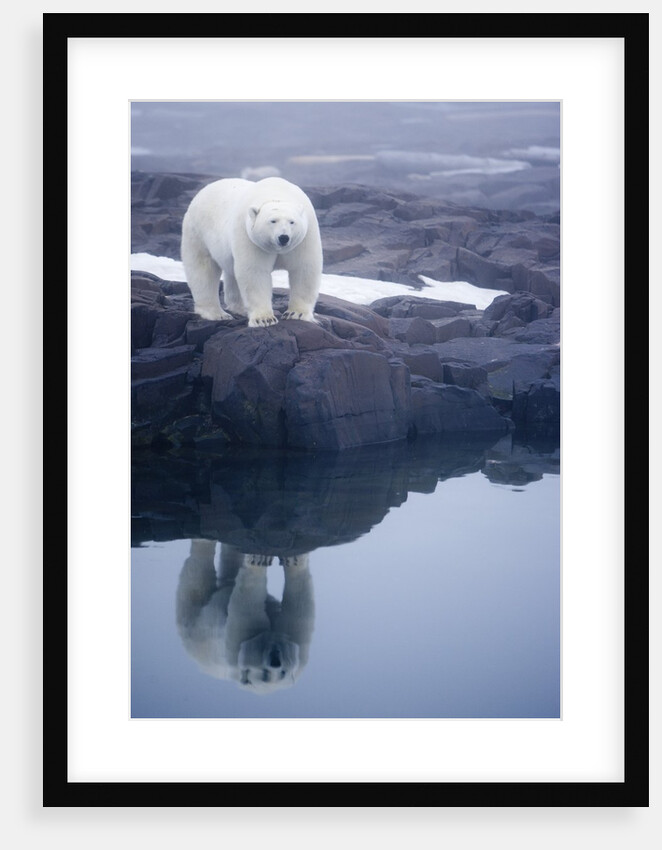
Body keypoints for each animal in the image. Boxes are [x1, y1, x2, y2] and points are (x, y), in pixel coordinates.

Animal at [180, 177, 323, 327]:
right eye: (273, 221)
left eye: (292, 222)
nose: (283, 237)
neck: (277, 193)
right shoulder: (250, 237)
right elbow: (255, 271)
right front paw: (264, 319)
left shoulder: (305, 237)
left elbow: (304, 268)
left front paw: (296, 314)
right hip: (197, 233)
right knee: (203, 270)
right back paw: (217, 313)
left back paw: (240, 308)